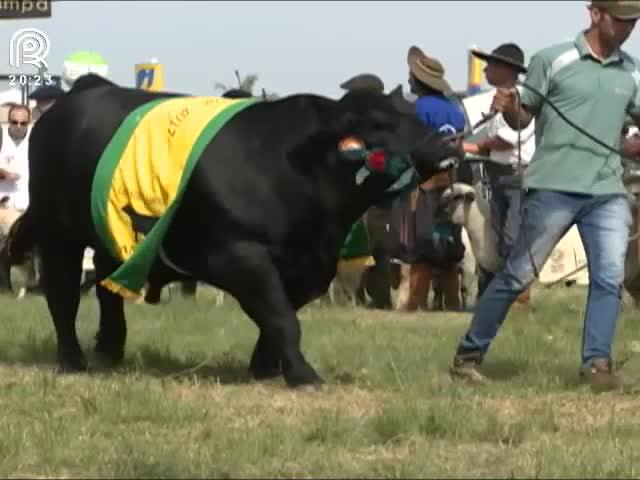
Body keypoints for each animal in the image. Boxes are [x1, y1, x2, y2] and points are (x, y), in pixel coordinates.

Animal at [2, 76, 458, 390]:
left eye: (415, 115)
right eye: (378, 123)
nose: (447, 144)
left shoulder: (311, 266)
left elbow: (279, 317)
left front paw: (265, 367)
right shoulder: (238, 255)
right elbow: (281, 316)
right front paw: (303, 374)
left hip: (113, 237)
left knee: (106, 287)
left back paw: (109, 349)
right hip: (58, 232)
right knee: (62, 294)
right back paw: (73, 359)